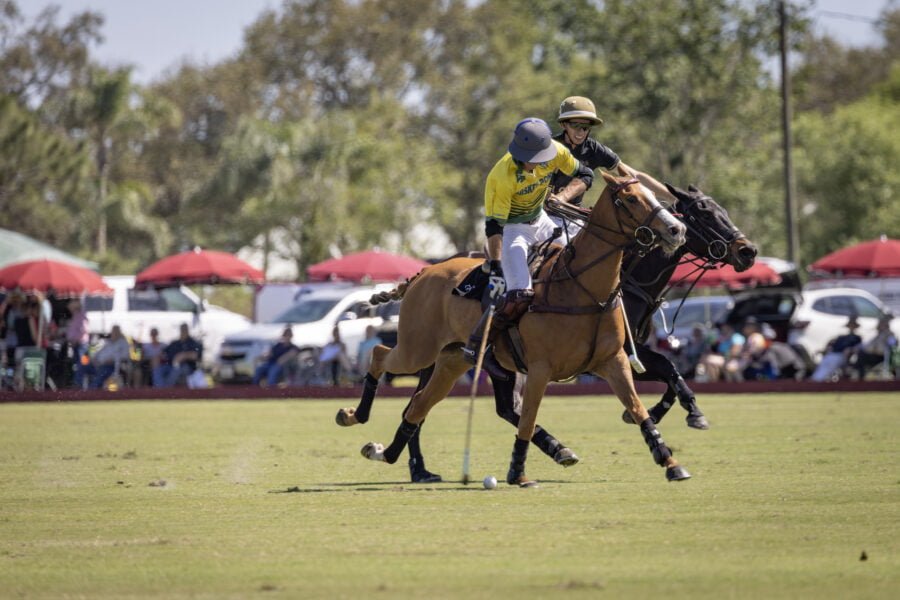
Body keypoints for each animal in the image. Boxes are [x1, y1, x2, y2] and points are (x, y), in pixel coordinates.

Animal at [352, 172, 688, 488]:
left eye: (654, 195)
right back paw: (357, 416)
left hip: (451, 360)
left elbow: (637, 407)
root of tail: (421, 274)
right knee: (380, 354)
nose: (677, 230)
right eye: (630, 198)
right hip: (418, 350)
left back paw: (384, 452)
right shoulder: (540, 368)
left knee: (419, 404)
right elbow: (527, 419)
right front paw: (518, 473)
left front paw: (670, 462)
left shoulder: (614, 361)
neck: (586, 290)